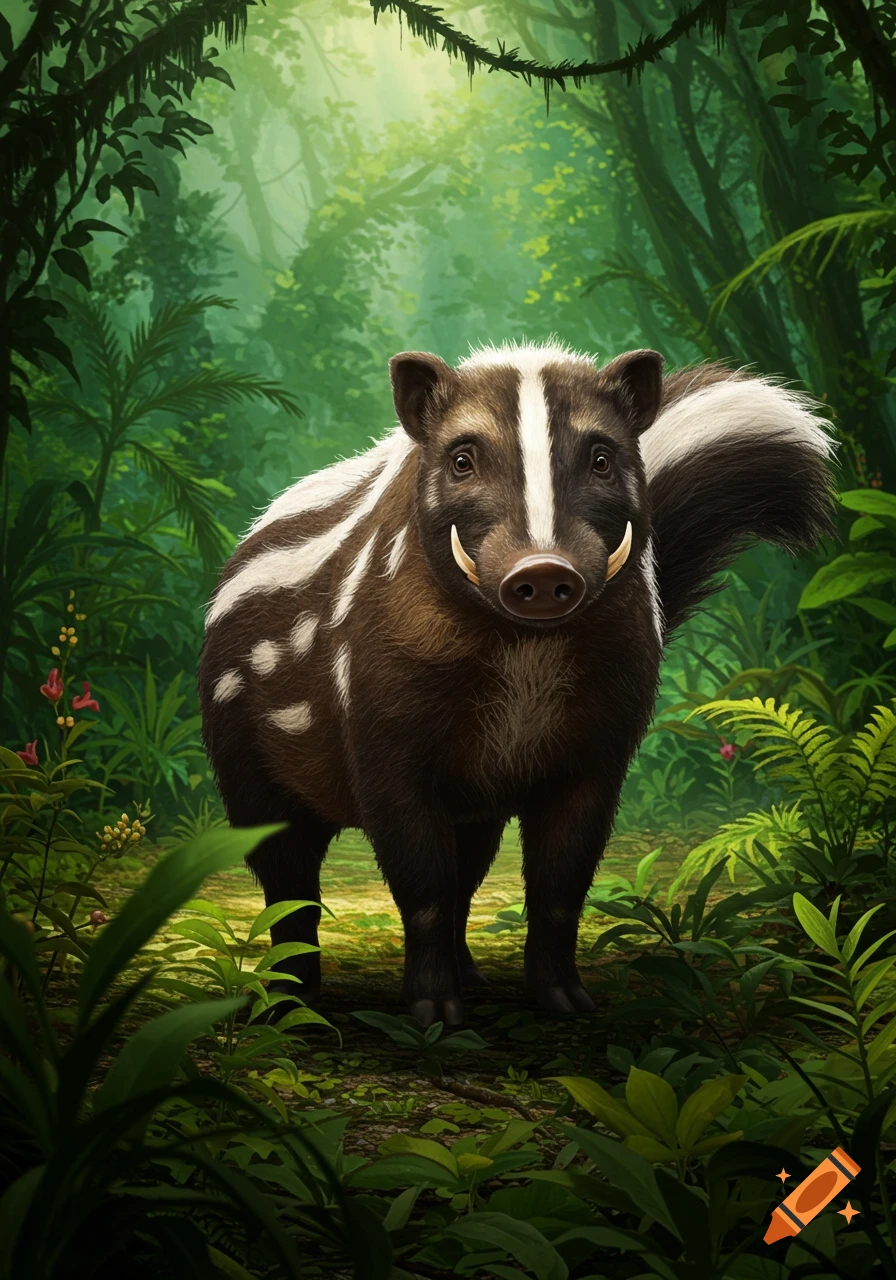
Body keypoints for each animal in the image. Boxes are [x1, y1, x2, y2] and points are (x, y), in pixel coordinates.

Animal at [199, 341, 835, 1026]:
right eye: (462, 460)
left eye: (603, 459)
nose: (544, 570)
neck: (524, 656)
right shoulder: (380, 721)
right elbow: (421, 881)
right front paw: (432, 1007)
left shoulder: (599, 735)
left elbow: (561, 878)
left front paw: (562, 996)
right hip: (244, 739)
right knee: (286, 870)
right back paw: (291, 993)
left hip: (476, 790)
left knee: (468, 865)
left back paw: (469, 975)